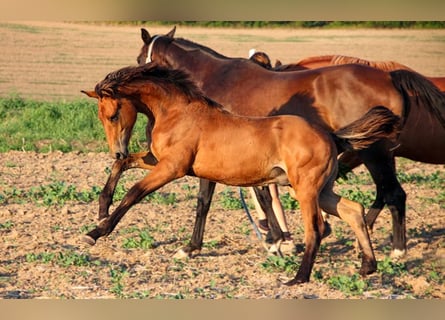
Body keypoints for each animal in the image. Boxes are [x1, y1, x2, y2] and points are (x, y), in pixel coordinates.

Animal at [80, 63, 402, 284]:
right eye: (100, 117)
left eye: (113, 115)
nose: (116, 150)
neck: (178, 113)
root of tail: (331, 135)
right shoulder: (159, 160)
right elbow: (125, 166)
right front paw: (102, 208)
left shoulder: (172, 168)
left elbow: (134, 192)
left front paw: (96, 233)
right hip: (321, 191)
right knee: (353, 210)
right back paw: (367, 266)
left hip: (306, 189)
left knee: (317, 228)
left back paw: (298, 278)